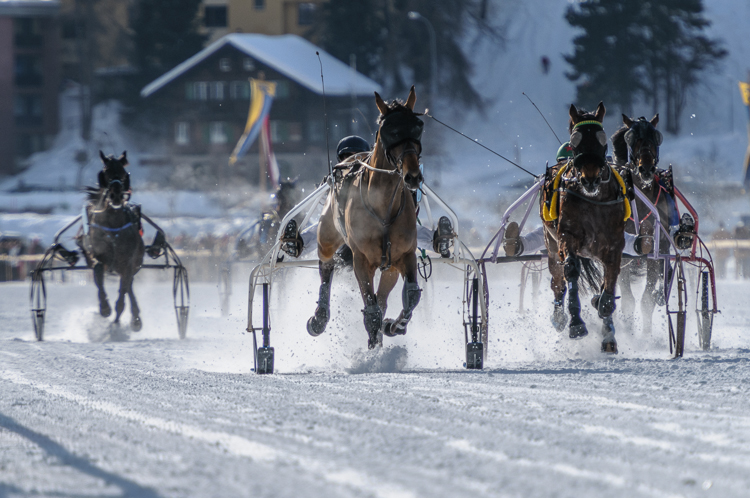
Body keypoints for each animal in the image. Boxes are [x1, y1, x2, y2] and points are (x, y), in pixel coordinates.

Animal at [306, 86, 424, 350]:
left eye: (418, 126)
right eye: (391, 130)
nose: (412, 175)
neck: (384, 208)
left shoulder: (405, 255)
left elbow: (411, 296)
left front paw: (393, 326)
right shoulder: (361, 260)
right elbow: (371, 310)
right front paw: (373, 342)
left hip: (390, 265)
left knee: (384, 296)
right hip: (327, 233)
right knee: (326, 265)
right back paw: (319, 318)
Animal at [540, 101, 628, 352]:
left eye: (602, 139)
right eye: (575, 141)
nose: (590, 178)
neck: (594, 199)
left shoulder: (614, 244)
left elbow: (610, 282)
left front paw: (608, 335)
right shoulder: (567, 235)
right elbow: (571, 269)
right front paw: (576, 324)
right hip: (551, 245)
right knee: (558, 280)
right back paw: (559, 317)